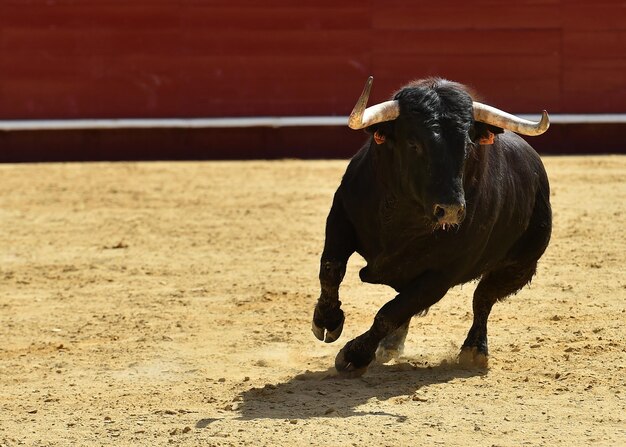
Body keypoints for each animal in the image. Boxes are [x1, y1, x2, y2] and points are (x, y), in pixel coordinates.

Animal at [310, 79, 548, 376]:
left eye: (467, 146)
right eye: (414, 143)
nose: (451, 210)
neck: (406, 213)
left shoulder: (442, 275)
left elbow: (391, 312)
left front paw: (354, 356)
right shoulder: (341, 217)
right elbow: (331, 270)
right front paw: (327, 322)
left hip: (519, 265)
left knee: (482, 298)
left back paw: (474, 351)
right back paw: (390, 346)